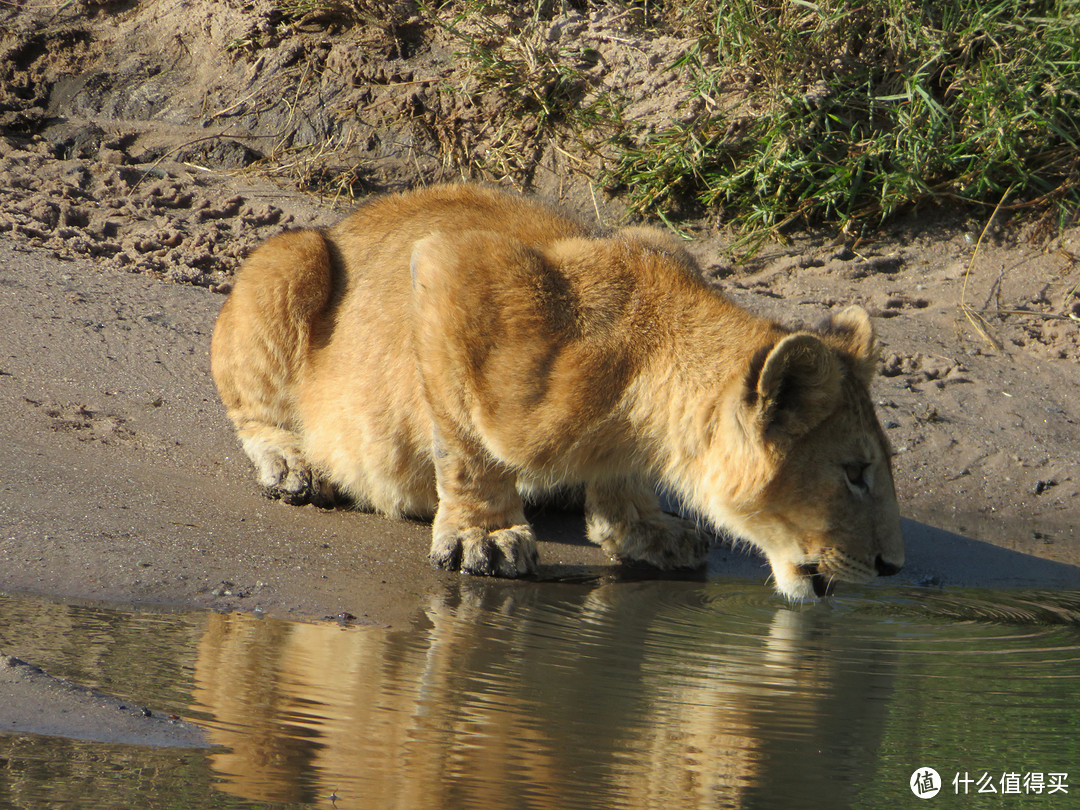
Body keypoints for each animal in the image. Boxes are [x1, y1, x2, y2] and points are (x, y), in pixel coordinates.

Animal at [210, 185, 902, 604]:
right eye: (855, 472)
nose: (892, 567)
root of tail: (342, 220)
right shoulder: (453, 267)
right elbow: (464, 443)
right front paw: (484, 537)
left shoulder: (654, 238)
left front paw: (641, 526)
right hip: (293, 257)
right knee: (253, 409)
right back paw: (295, 463)